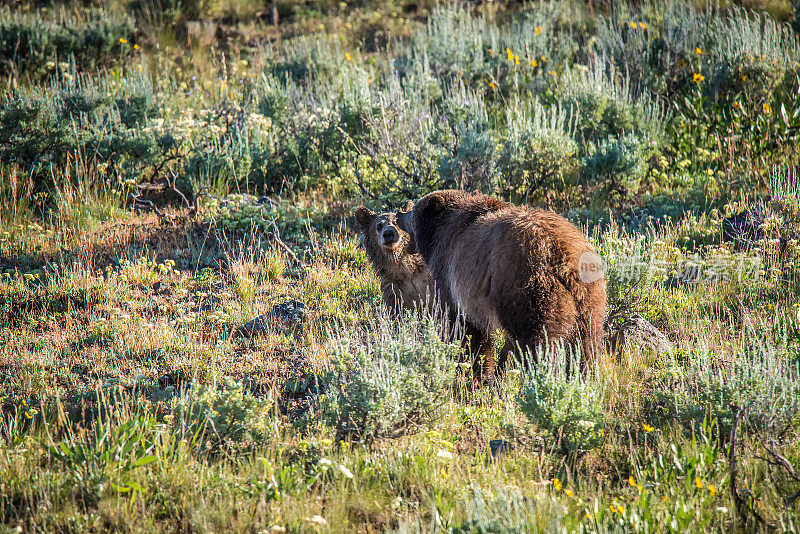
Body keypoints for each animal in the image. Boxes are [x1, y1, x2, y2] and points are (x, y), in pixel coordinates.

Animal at [396, 191, 608, 370]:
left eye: (413, 212)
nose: (399, 213)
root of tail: (562, 255)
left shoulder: (451, 276)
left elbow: (465, 329)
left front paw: (476, 370)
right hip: (590, 297)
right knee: (586, 343)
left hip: (526, 285)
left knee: (538, 339)